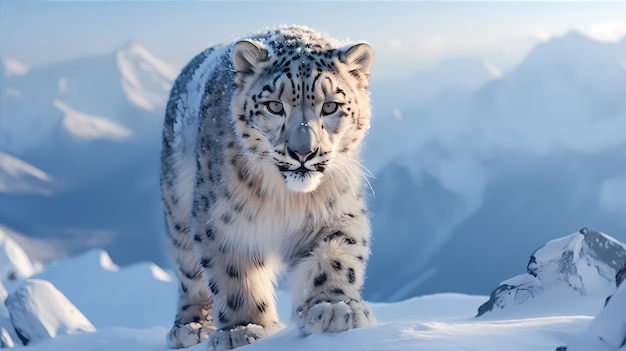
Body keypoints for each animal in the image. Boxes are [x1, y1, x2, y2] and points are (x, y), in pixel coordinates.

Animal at [161, 26, 372, 350]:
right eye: (274, 106)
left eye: (330, 106)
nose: (303, 153)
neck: (289, 200)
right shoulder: (222, 224)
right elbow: (232, 277)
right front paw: (243, 328)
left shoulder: (337, 211)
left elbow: (337, 256)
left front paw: (333, 308)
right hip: (177, 208)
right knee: (188, 272)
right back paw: (190, 327)